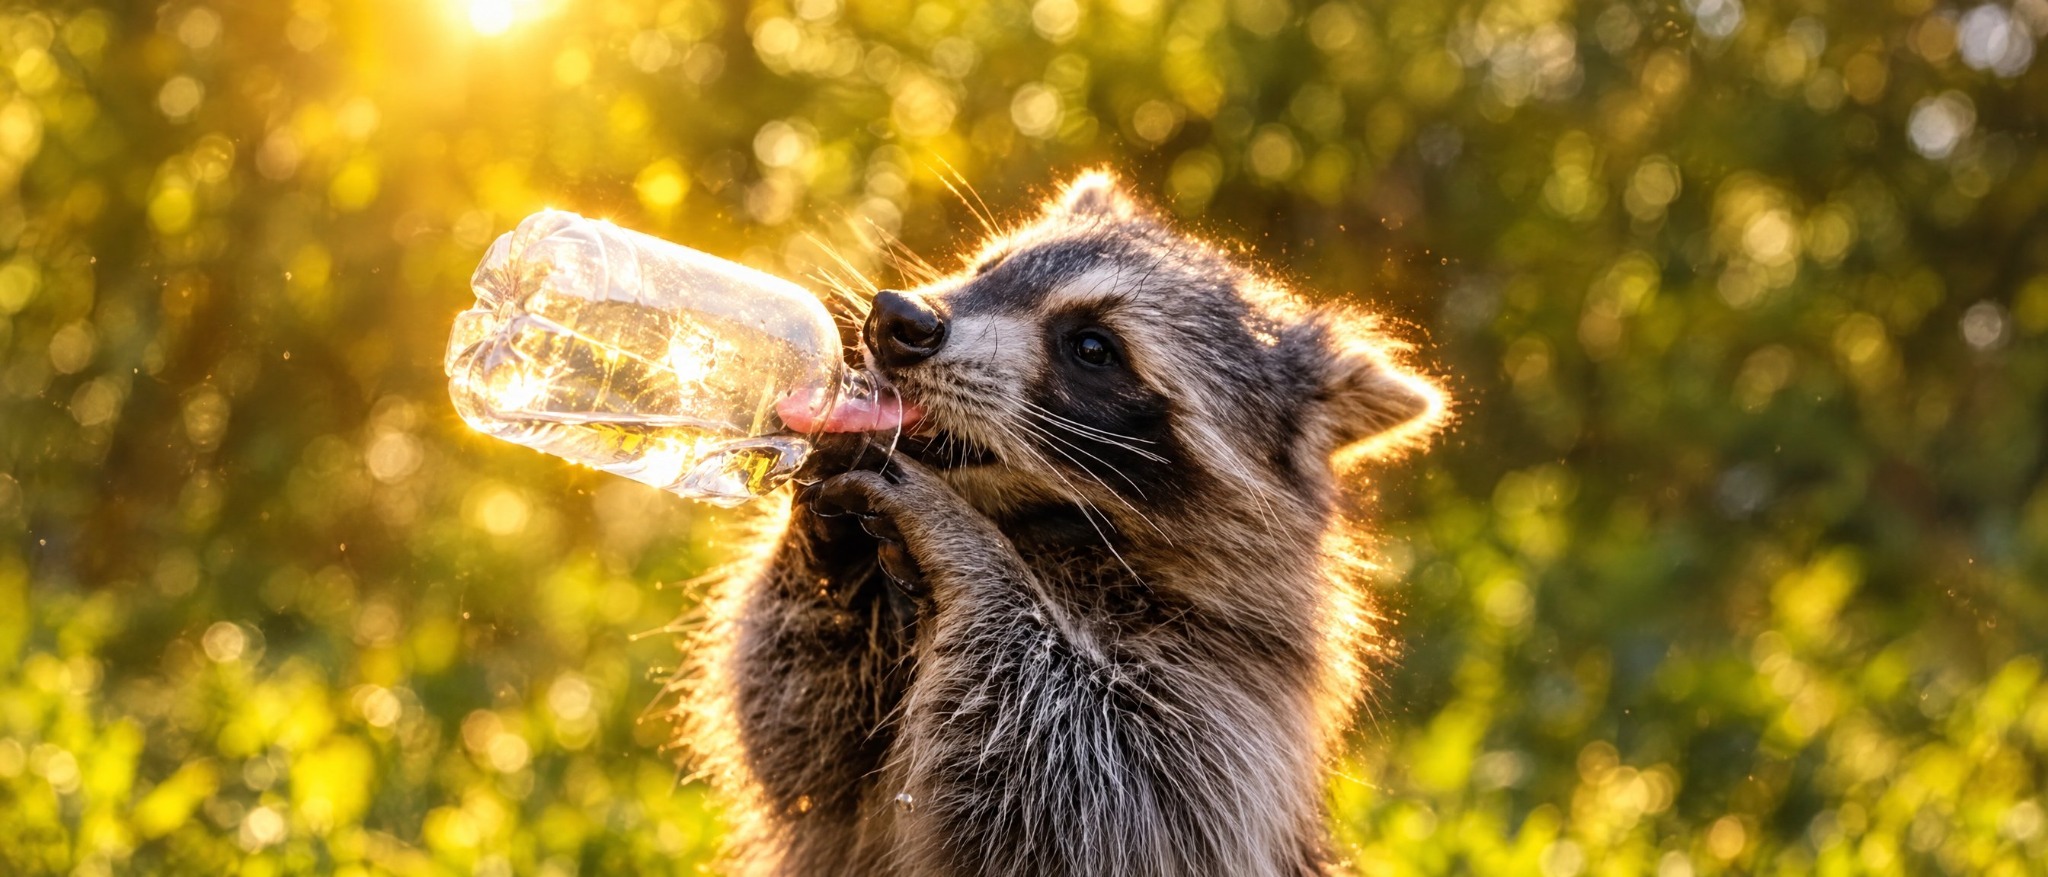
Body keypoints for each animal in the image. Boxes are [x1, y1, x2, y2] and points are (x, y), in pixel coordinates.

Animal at [678, 171, 1446, 877]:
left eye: (1093, 347)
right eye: (991, 269)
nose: (896, 318)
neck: (1049, 527)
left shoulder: (1238, 692)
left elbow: (1112, 808)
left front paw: (970, 550)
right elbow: (801, 743)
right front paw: (827, 536)